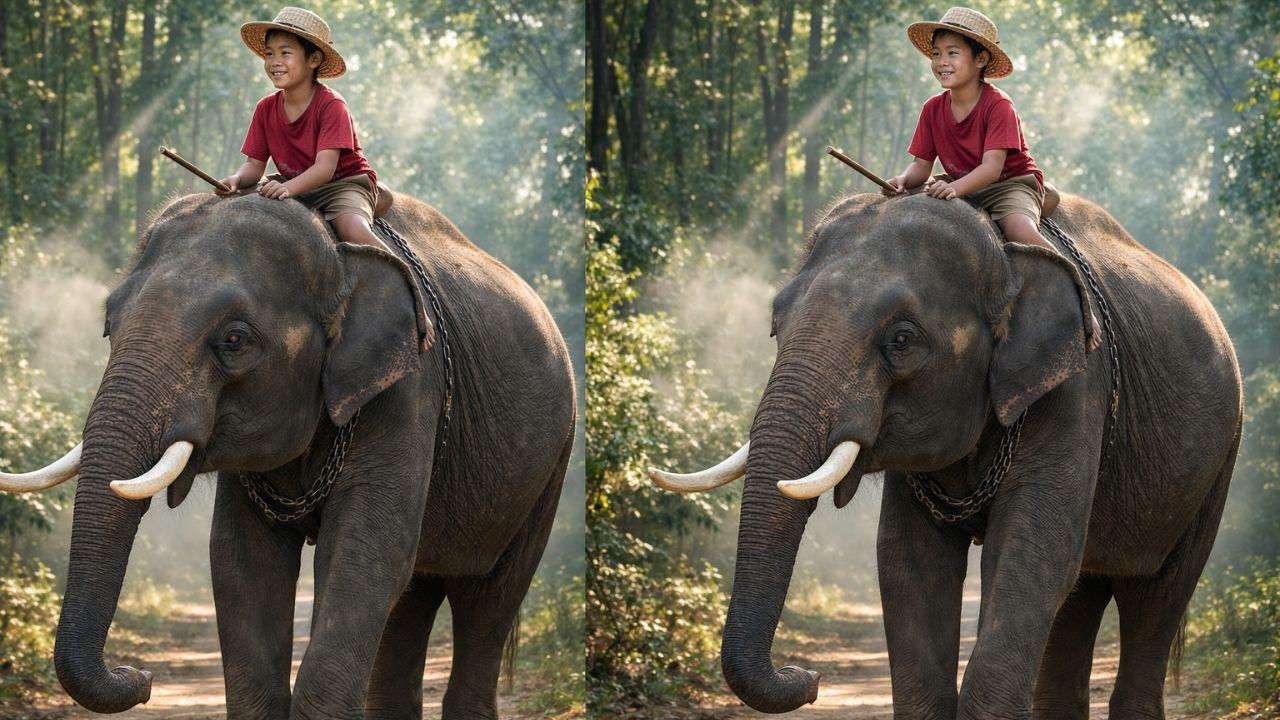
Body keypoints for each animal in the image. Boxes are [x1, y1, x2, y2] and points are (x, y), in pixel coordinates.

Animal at [0, 191, 576, 719]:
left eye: (234, 340)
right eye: (108, 324)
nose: (141, 678)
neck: (336, 253)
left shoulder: (409, 388)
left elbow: (365, 550)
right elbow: (242, 560)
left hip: (551, 466)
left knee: (489, 597)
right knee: (414, 596)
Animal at [650, 192, 1241, 717]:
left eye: (902, 339)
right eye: (776, 325)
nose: (810, 679)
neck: (1001, 250)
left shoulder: (1075, 387)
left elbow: (1032, 551)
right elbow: (910, 561)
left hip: (1219, 464)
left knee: (1158, 594)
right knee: (1081, 593)